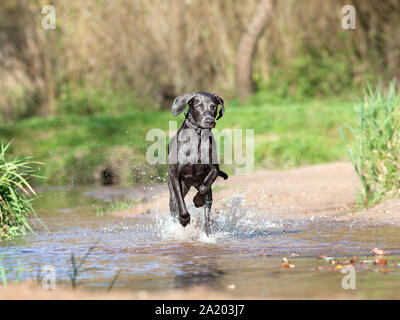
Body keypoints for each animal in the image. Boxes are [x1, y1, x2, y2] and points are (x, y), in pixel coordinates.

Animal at [167, 91, 228, 234]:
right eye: (199, 106)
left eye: (213, 107)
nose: (209, 121)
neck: (197, 136)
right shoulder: (174, 174)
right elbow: (180, 200)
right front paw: (184, 219)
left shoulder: (214, 169)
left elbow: (204, 187)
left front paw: (197, 200)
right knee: (174, 203)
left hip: (208, 197)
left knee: (207, 213)